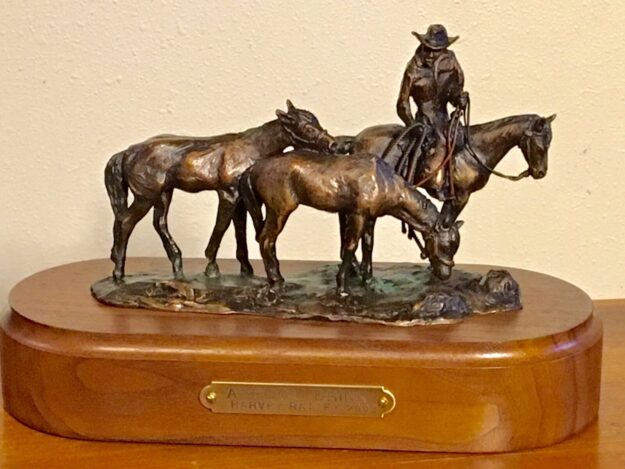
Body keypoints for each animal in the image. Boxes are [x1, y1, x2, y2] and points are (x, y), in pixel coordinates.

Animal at [103, 100, 336, 280]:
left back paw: (177, 266)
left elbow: (240, 230)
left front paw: (246, 269)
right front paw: (212, 268)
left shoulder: (241, 200)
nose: (333, 145)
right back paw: (118, 273)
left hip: (163, 195)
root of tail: (127, 152)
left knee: (158, 224)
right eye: (307, 129)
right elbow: (221, 227)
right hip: (145, 197)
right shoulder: (228, 195)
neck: (252, 148)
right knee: (125, 222)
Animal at [241, 152, 460, 294]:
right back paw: (277, 283)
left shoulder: (370, 218)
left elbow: (368, 246)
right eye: (446, 246)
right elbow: (350, 246)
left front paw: (369, 281)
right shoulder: (357, 215)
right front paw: (342, 287)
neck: (383, 181)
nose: (446, 276)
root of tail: (252, 168)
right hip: (279, 211)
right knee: (266, 241)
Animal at [338, 112, 552, 282]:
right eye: (541, 147)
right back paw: (362, 272)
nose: (540, 173)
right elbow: (445, 223)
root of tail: (356, 140)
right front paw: (437, 260)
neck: (475, 151)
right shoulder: (460, 197)